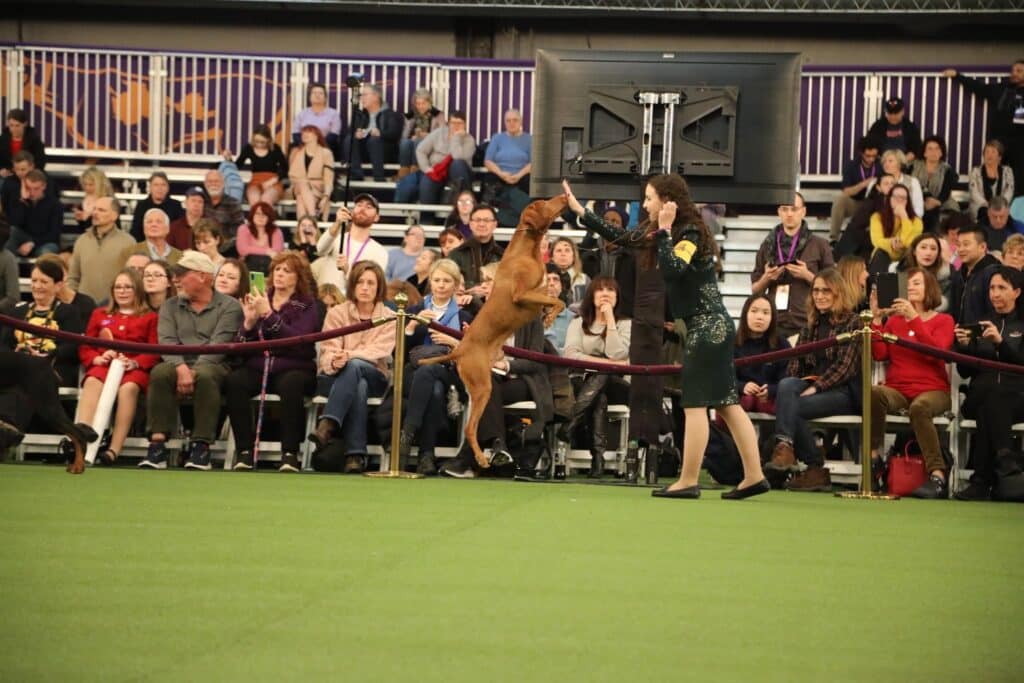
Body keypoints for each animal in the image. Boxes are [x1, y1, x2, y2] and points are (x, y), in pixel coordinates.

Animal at [419, 194, 573, 466]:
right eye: (544, 203)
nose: (565, 195)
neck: (526, 250)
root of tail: (459, 351)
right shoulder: (522, 295)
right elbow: (558, 301)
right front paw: (550, 318)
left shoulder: (542, 292)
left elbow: (557, 299)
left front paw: (548, 318)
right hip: (482, 387)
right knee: (470, 428)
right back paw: (481, 458)